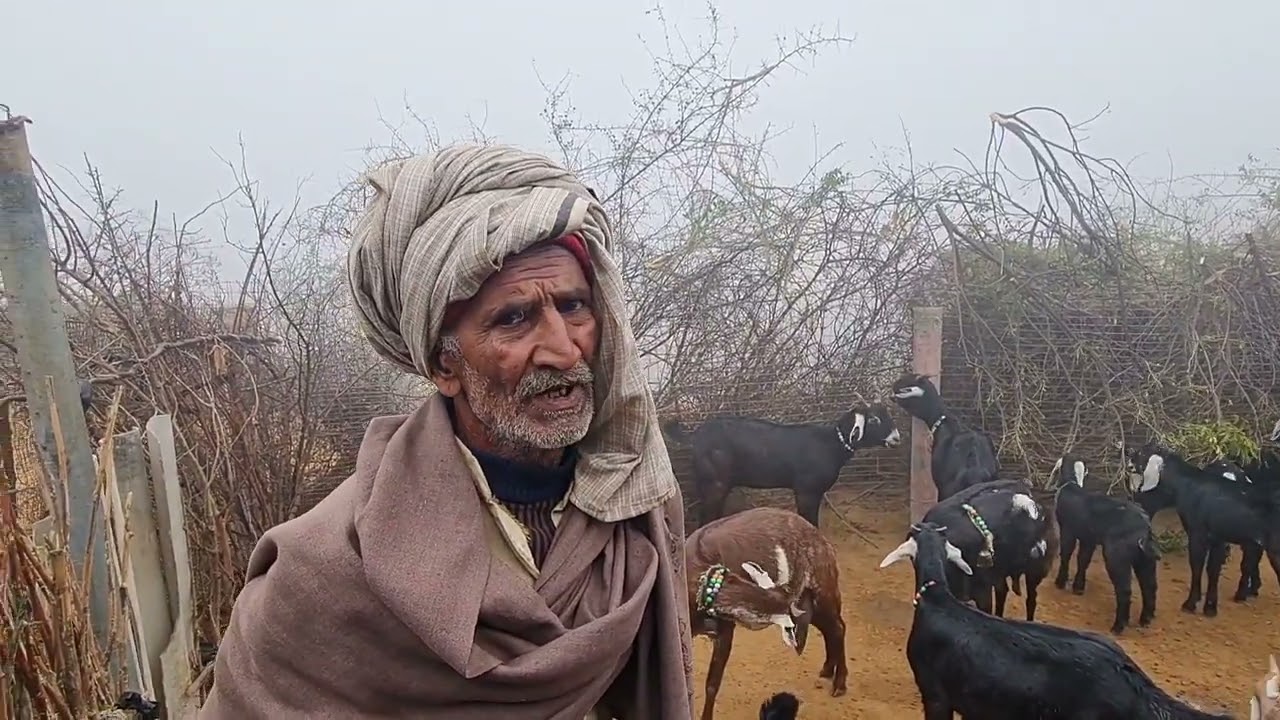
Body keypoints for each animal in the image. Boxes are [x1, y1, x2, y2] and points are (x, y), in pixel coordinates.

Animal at [662, 402, 901, 527]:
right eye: (874, 419)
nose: (896, 438)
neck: (831, 444)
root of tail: (696, 435)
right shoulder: (806, 491)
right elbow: (809, 520)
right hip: (715, 481)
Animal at [685, 507, 846, 720]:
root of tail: (820, 539)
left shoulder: (725, 631)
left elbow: (712, 684)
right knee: (830, 630)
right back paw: (827, 670)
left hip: (824, 591)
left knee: (838, 628)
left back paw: (840, 685)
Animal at [1050, 454, 1159, 634]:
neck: (1071, 485)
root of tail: (1144, 527)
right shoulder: (1088, 539)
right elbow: (1083, 560)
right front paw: (1078, 587)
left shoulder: (1067, 530)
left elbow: (1066, 554)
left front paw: (1060, 582)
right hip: (1145, 559)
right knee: (1150, 586)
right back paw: (1146, 619)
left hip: (1117, 557)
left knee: (1124, 590)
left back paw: (1118, 626)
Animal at [1127, 442, 1280, 616]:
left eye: (1142, 454)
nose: (1129, 459)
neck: (1189, 484)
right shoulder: (1218, 538)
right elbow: (1213, 570)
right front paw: (1210, 607)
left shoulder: (1197, 534)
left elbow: (1197, 566)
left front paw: (1190, 604)